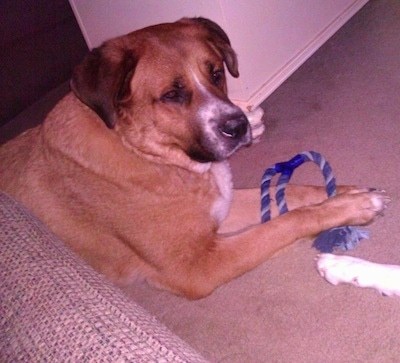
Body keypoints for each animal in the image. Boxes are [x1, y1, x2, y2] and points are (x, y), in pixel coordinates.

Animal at [0, 17, 390, 298]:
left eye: (216, 73)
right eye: (172, 94)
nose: (239, 125)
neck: (154, 156)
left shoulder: (222, 205)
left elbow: (296, 192)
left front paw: (345, 192)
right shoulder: (197, 267)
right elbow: (286, 222)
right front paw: (349, 207)